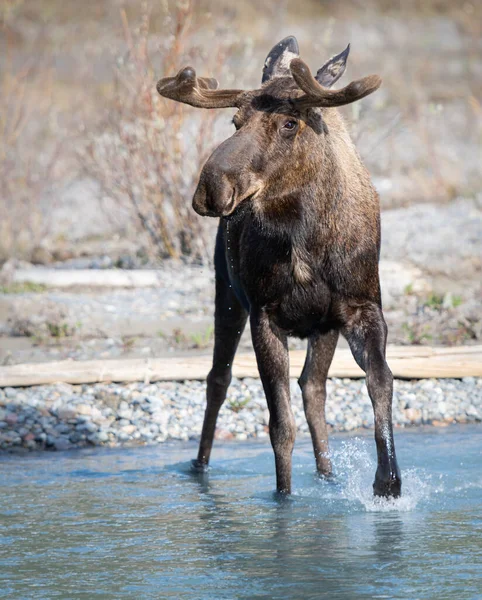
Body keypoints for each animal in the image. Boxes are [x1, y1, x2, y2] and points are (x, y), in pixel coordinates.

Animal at [156, 36, 402, 496]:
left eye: (290, 123)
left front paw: (389, 481)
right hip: (226, 291)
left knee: (313, 389)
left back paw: (327, 474)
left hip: (322, 326)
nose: (210, 188)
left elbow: (382, 382)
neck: (306, 237)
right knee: (218, 380)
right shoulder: (264, 314)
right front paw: (283, 500)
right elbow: (280, 426)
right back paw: (199, 467)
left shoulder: (363, 309)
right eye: (235, 121)